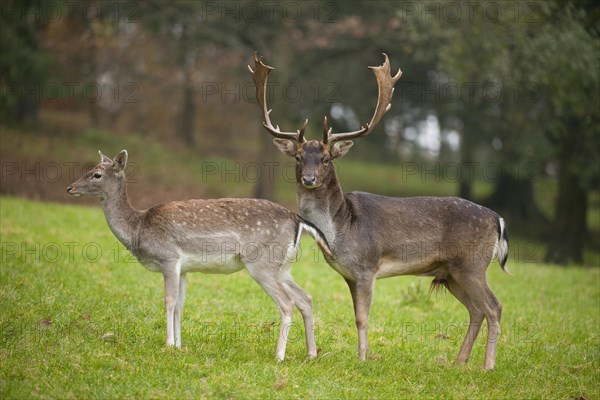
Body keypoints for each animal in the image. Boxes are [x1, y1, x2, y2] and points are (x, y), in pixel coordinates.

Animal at [68, 150, 330, 362]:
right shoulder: (184, 268)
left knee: (287, 303)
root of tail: (298, 220)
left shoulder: (169, 258)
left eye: (96, 174)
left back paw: (279, 356)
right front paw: (179, 346)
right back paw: (311, 354)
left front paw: (168, 344)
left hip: (262, 263)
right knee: (305, 297)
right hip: (283, 266)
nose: (70, 188)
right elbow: (180, 305)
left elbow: (169, 301)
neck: (138, 228)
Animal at [248, 52, 506, 368]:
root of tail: (497, 219)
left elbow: (362, 318)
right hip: (451, 273)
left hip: (472, 264)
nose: (309, 179)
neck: (342, 228)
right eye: (298, 157)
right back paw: (459, 362)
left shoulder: (367, 267)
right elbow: (355, 315)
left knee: (494, 307)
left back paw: (487, 366)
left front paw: (362, 358)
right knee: (476, 309)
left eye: (326, 159)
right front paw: (361, 355)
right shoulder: (348, 274)